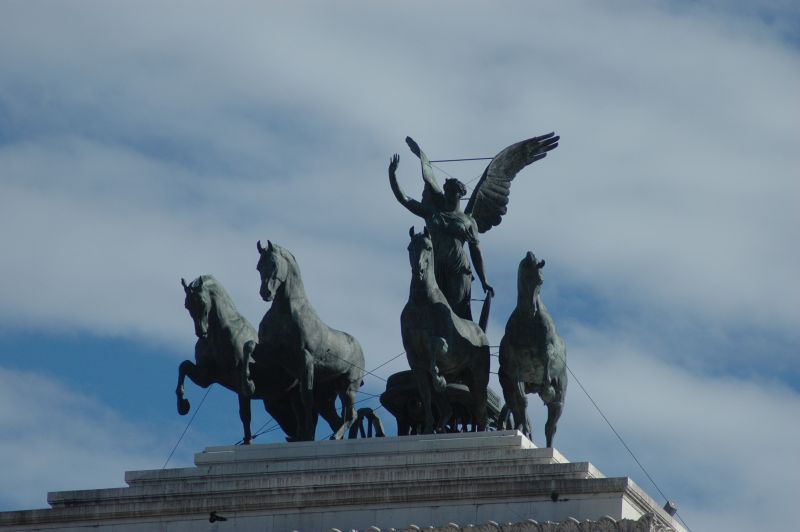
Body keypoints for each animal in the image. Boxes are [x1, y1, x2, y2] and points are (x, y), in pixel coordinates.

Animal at [255, 241, 364, 440]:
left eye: (273, 263)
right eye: (258, 267)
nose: (265, 293)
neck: (286, 313)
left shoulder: (305, 359)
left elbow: (305, 399)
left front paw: (306, 434)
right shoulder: (277, 359)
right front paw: (303, 434)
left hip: (348, 388)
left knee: (351, 415)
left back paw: (336, 436)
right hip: (326, 397)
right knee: (336, 419)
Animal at [398, 227, 488, 434]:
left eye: (429, 247)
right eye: (409, 248)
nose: (418, 270)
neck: (422, 303)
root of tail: (481, 332)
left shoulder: (449, 351)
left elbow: (435, 345)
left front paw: (440, 379)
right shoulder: (414, 359)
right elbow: (425, 394)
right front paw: (428, 428)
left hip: (479, 377)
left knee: (480, 407)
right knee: (449, 407)